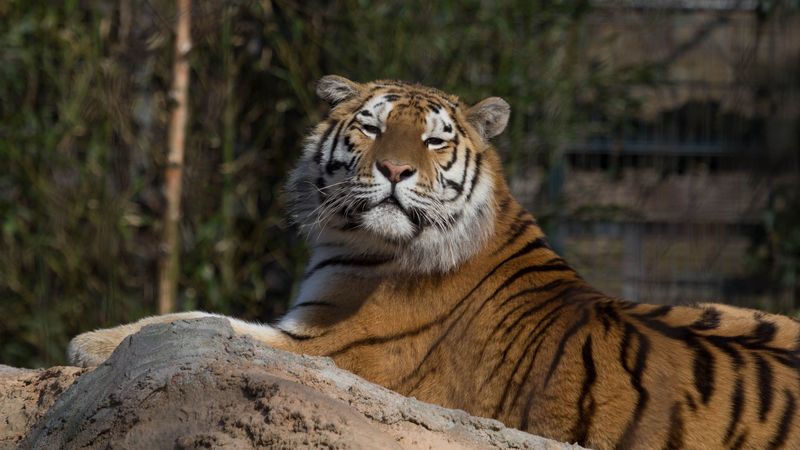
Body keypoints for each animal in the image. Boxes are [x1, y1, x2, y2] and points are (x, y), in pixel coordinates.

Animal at [69, 75, 800, 449]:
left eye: (434, 140)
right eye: (370, 127)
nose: (394, 170)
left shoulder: (335, 348)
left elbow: (201, 324)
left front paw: (90, 343)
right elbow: (201, 321)